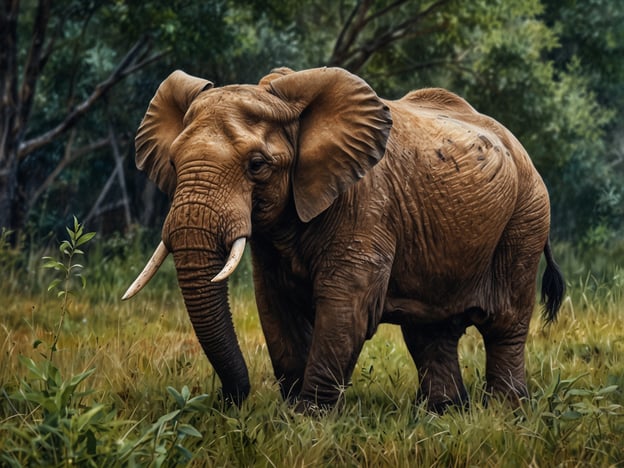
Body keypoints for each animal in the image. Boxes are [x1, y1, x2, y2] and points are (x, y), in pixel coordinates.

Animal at [122, 66, 564, 414]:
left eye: (257, 165)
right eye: (174, 162)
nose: (227, 402)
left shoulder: (366, 204)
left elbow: (345, 305)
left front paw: (307, 421)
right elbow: (275, 306)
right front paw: (291, 414)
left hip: (526, 218)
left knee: (504, 322)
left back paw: (504, 412)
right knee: (429, 331)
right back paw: (445, 413)